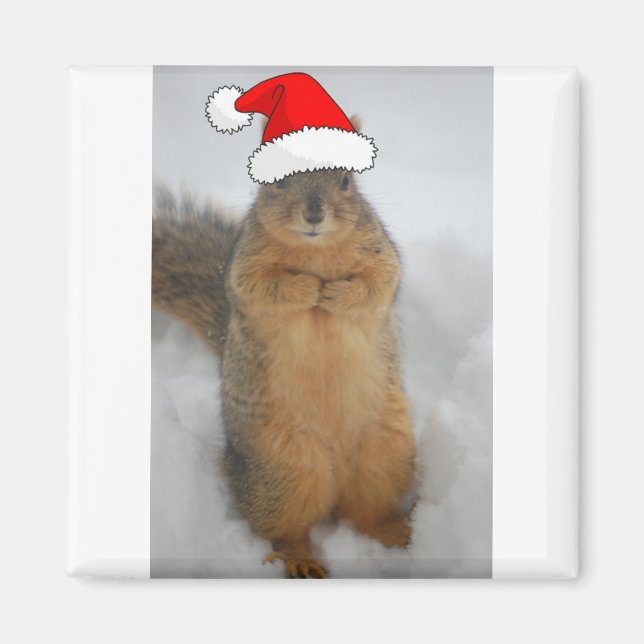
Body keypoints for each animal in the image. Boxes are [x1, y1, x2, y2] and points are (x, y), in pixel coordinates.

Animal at [152, 165, 416, 578]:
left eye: (346, 181)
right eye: (276, 180)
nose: (314, 213)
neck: (315, 250)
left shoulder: (380, 253)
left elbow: (377, 284)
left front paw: (335, 294)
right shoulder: (245, 266)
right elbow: (261, 288)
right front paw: (308, 288)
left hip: (386, 454)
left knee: (366, 514)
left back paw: (397, 531)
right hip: (281, 471)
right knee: (285, 530)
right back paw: (300, 560)